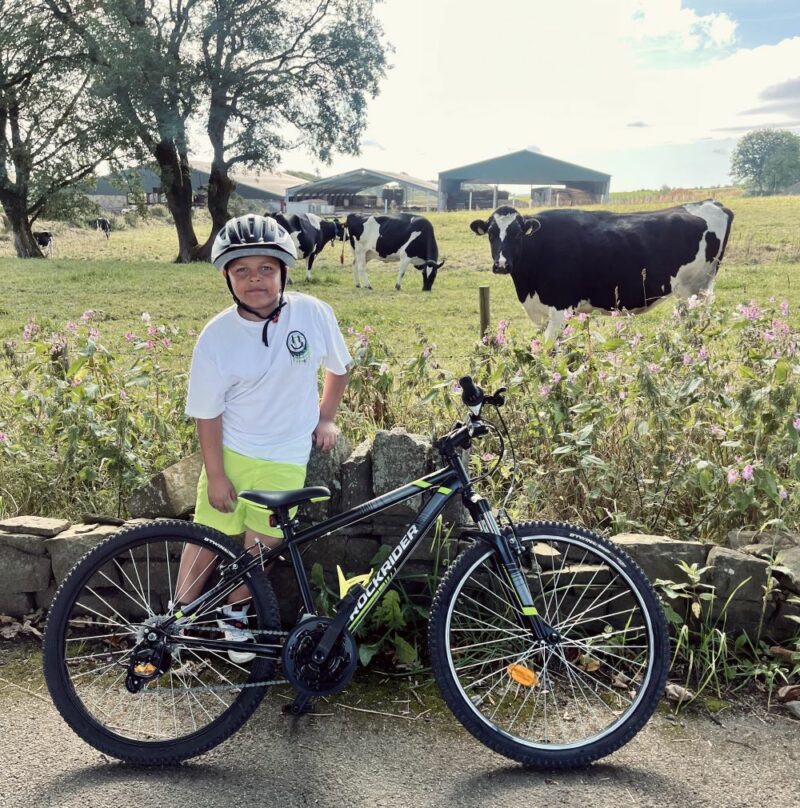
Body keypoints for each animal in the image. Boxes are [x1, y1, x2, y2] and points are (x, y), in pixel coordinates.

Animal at [472, 204, 736, 342]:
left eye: (517, 234)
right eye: (491, 234)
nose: (501, 265)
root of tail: (711, 204)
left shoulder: (560, 308)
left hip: (693, 290)